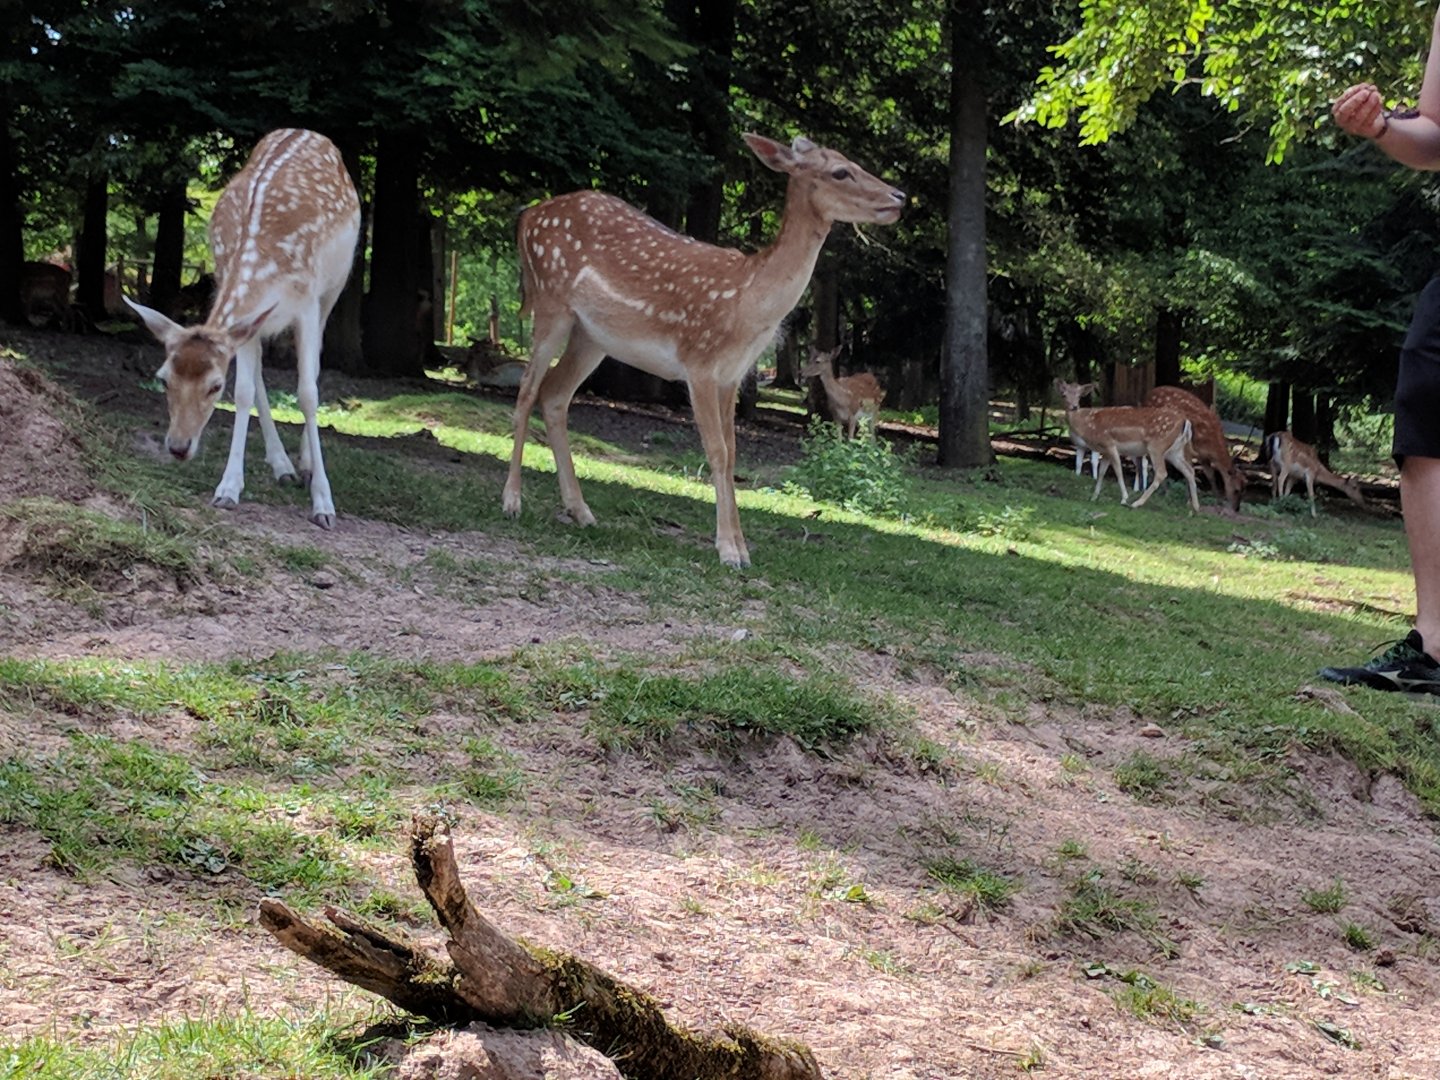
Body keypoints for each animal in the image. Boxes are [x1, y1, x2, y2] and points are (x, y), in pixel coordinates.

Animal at [124, 129, 360, 529]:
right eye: (163, 379)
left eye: (213, 386)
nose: (178, 447)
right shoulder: (248, 319)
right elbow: (246, 391)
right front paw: (228, 488)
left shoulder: (307, 303)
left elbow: (307, 393)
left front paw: (324, 503)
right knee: (262, 375)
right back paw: (283, 466)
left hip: (335, 285)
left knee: (315, 367)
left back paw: (305, 465)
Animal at [502, 133, 906, 567]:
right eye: (840, 171)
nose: (899, 196)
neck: (748, 304)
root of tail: (528, 216)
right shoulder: (699, 362)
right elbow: (716, 451)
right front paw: (728, 550)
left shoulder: (733, 374)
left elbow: (733, 454)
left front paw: (742, 548)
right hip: (551, 302)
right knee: (526, 390)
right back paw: (512, 501)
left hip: (592, 336)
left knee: (555, 395)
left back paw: (581, 511)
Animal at [1055, 380, 1200, 512]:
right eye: (1063, 395)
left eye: (1079, 395)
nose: (1074, 407)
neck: (1088, 424)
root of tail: (1185, 421)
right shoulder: (1105, 450)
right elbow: (1102, 472)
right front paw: (1094, 497)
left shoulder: (1109, 444)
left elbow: (1118, 470)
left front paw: (1124, 498)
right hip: (1174, 451)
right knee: (1189, 470)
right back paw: (1196, 508)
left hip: (1157, 445)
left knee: (1162, 472)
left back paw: (1137, 503)